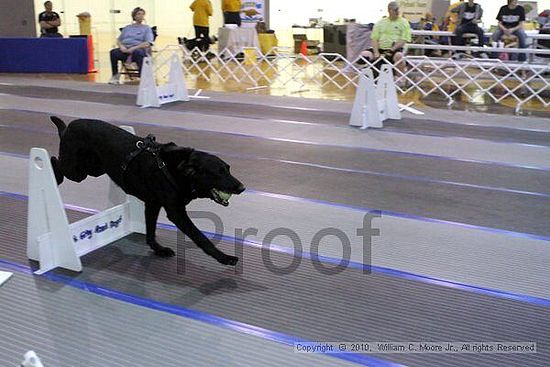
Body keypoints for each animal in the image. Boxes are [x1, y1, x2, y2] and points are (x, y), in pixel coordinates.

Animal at [50, 117, 246, 264]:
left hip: (95, 169)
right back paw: (50, 169)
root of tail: (70, 126)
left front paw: (157, 249)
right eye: (218, 173)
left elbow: (150, 231)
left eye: (228, 169)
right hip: (76, 170)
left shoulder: (152, 204)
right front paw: (225, 258)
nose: (242, 188)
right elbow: (201, 238)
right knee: (56, 162)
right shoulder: (176, 213)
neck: (175, 170)